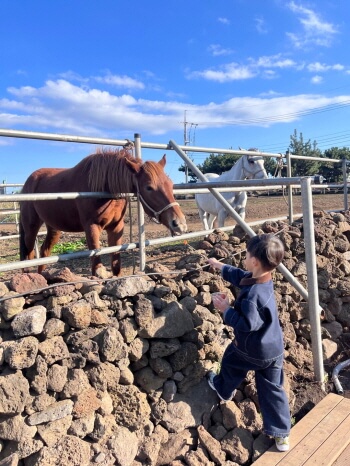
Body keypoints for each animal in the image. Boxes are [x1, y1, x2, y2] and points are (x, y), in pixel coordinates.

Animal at [20, 147, 187, 274]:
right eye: (149, 187)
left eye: (170, 183)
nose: (179, 224)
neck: (103, 189)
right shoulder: (92, 228)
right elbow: (96, 265)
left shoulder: (116, 227)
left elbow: (116, 265)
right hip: (31, 227)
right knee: (28, 253)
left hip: (54, 228)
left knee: (44, 251)